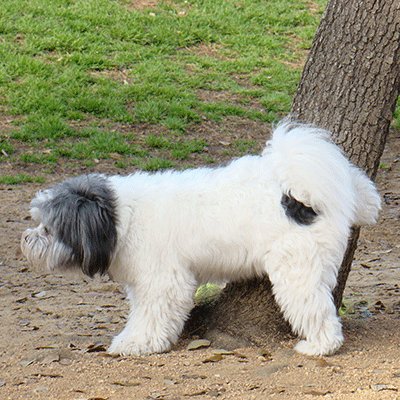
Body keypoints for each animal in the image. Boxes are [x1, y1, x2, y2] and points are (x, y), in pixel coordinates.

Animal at [21, 121, 382, 356]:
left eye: (49, 228)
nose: (27, 240)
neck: (121, 218)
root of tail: (297, 195)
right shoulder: (148, 282)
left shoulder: (163, 280)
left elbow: (151, 316)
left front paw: (138, 343)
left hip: (298, 271)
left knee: (316, 309)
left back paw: (320, 346)